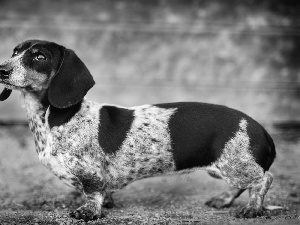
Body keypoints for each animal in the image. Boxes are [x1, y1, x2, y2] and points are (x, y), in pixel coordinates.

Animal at [0, 39, 276, 221]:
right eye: (15, 52)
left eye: (39, 57)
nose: (1, 69)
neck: (53, 118)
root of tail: (259, 128)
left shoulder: (91, 173)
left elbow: (93, 192)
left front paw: (89, 211)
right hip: (223, 168)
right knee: (244, 183)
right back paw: (224, 199)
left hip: (234, 166)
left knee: (264, 179)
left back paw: (253, 208)